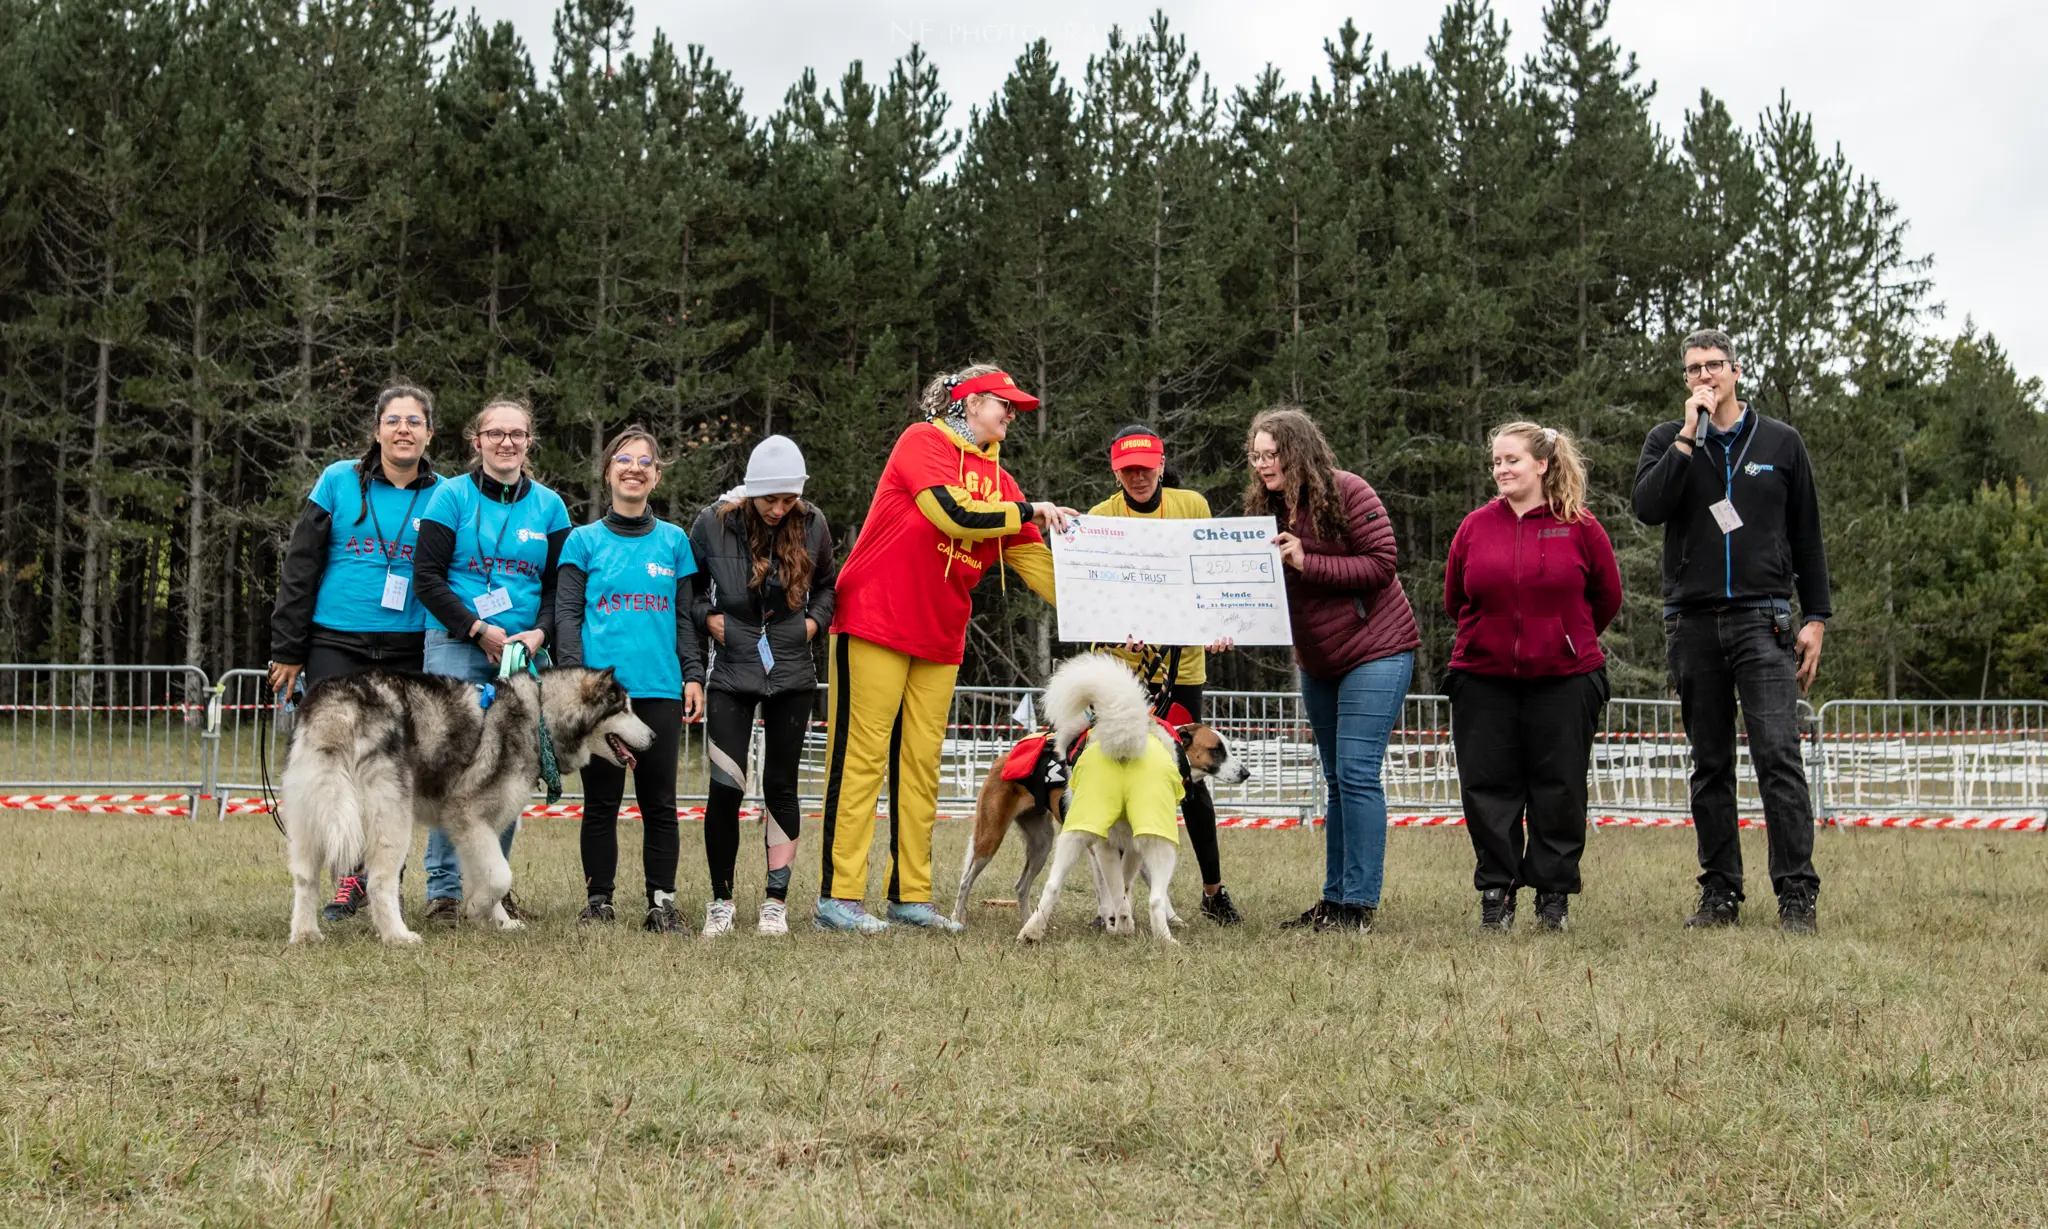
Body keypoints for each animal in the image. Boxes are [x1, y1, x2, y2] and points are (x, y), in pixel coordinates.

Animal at [284, 667, 651, 946]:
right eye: (624, 709)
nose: (655, 737)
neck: (540, 718)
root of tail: (340, 702)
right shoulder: (465, 815)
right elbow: (501, 876)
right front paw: (476, 909)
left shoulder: (477, 830)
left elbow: (488, 874)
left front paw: (499, 921)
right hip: (391, 820)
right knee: (379, 881)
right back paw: (398, 936)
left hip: (311, 811)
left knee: (305, 877)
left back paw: (305, 934)